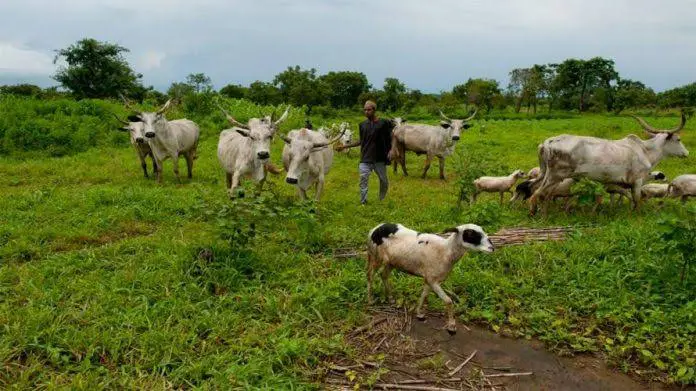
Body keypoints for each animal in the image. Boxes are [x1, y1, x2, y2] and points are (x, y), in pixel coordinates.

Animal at [532, 113, 688, 217]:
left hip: (547, 175)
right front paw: (637, 216)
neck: (645, 151)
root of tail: (547, 142)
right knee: (539, 193)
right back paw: (537, 213)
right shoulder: (637, 182)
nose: (687, 153)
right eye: (678, 139)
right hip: (554, 176)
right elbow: (637, 201)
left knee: (539, 190)